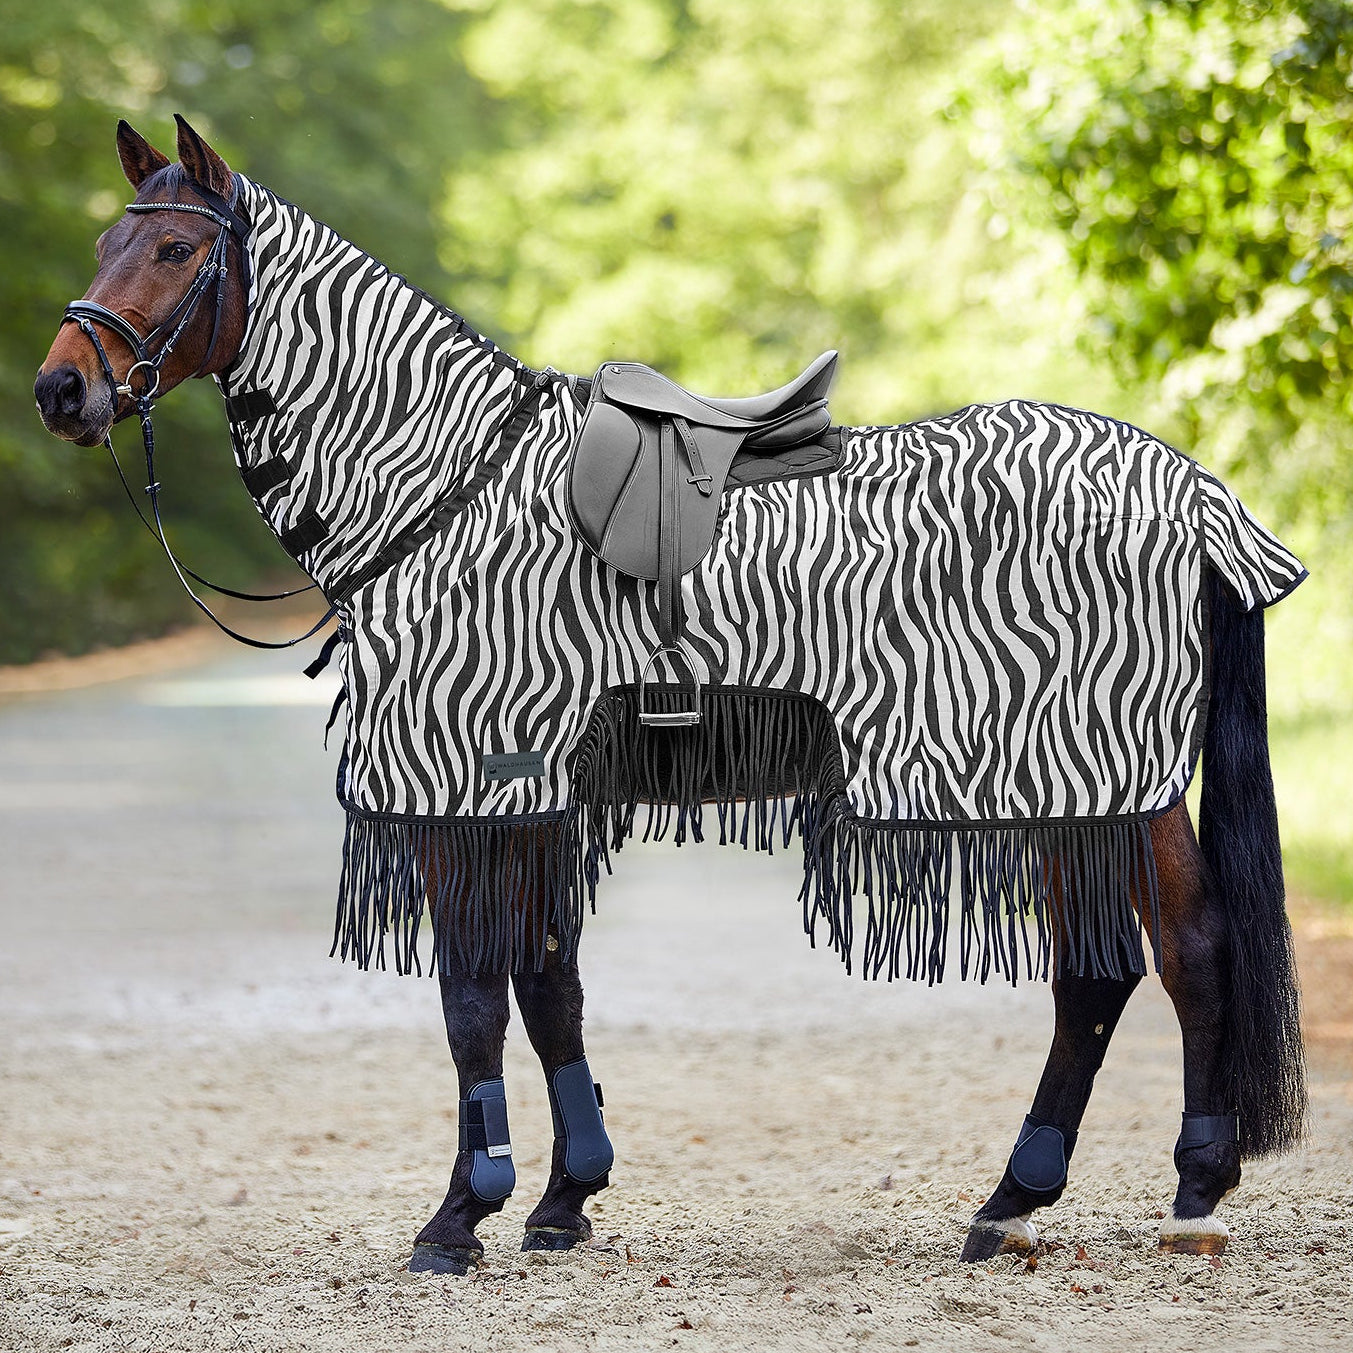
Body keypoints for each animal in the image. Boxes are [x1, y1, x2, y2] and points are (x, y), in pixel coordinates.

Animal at [35, 118, 1307, 1274]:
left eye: (172, 250)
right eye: (104, 239)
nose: (60, 389)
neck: (446, 485)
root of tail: (1192, 490)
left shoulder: (471, 781)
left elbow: (472, 998)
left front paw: (460, 1217)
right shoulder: (532, 789)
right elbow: (549, 983)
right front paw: (563, 1201)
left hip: (1096, 773)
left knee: (1166, 955)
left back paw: (1143, 1191)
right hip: (1080, 784)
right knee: (1132, 964)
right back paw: (1060, 1197)